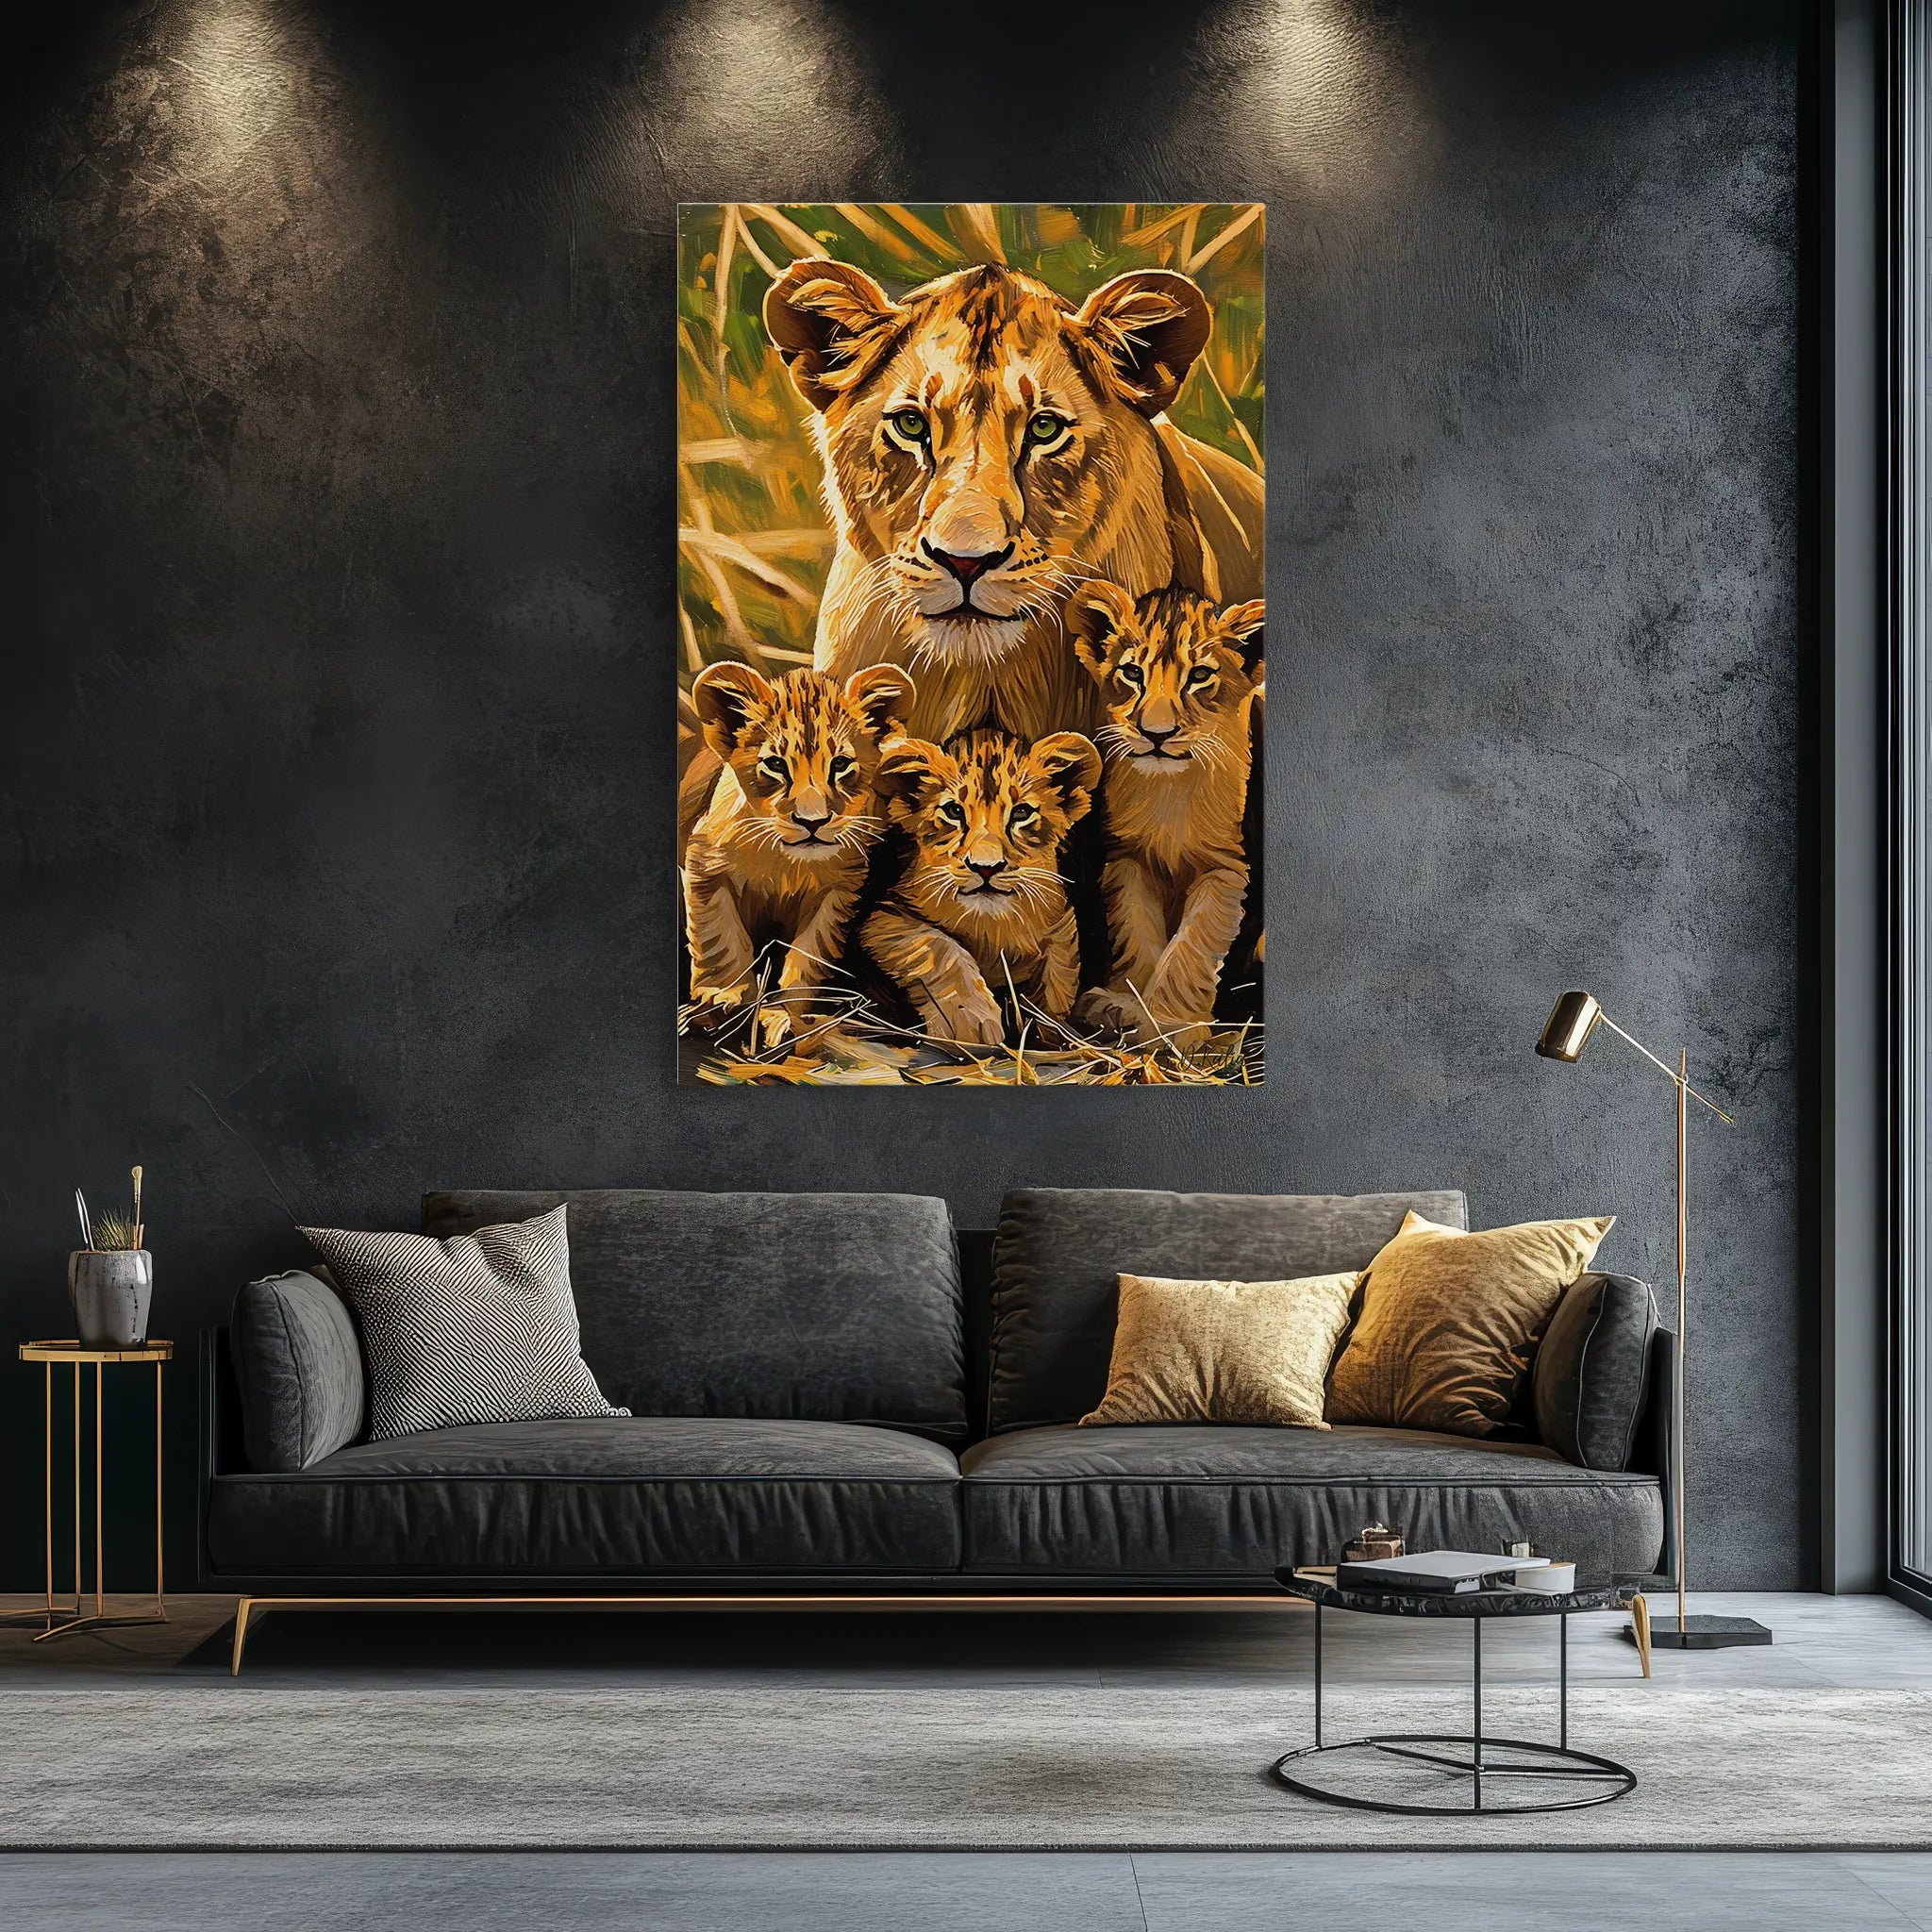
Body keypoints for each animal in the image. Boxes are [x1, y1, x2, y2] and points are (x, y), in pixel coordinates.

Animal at [683, 661, 914, 1045]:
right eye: (776, 765)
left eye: (840, 764)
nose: (812, 821)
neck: (785, 863)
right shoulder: (706, 866)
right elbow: (722, 940)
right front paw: (725, 998)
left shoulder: (837, 892)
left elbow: (806, 956)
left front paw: (787, 1016)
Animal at [863, 728, 1102, 1049]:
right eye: (953, 811)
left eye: (1022, 813)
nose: (986, 867)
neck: (992, 926)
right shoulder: (884, 917)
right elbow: (937, 946)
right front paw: (969, 1024)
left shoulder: (1061, 925)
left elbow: (1058, 977)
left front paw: (1051, 1033)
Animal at [1065, 583, 1265, 1042]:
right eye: (1133, 673)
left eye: (1200, 676)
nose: (1156, 734)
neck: (1169, 792)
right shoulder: (1129, 860)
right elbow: (1136, 933)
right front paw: (1123, 1006)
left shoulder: (1227, 867)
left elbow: (1192, 944)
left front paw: (1173, 1025)